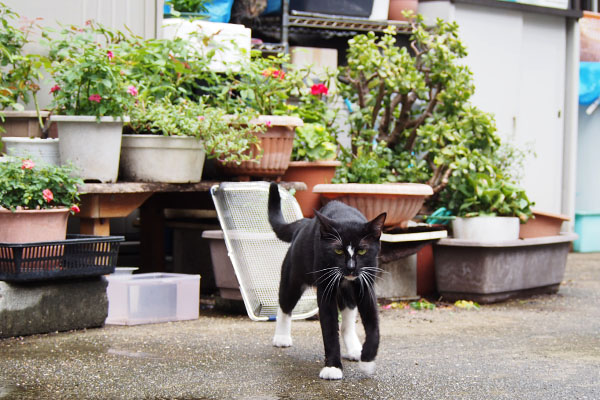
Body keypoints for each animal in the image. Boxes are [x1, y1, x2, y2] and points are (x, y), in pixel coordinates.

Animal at [266, 183, 384, 380]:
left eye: (362, 251)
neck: (346, 217)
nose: (351, 268)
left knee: (348, 316)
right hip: (293, 276)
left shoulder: (366, 284)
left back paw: (354, 349)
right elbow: (329, 329)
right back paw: (281, 337)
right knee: (284, 304)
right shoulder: (325, 289)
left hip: (347, 291)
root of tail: (304, 223)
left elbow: (373, 324)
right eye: (338, 251)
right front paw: (333, 367)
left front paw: (367, 361)